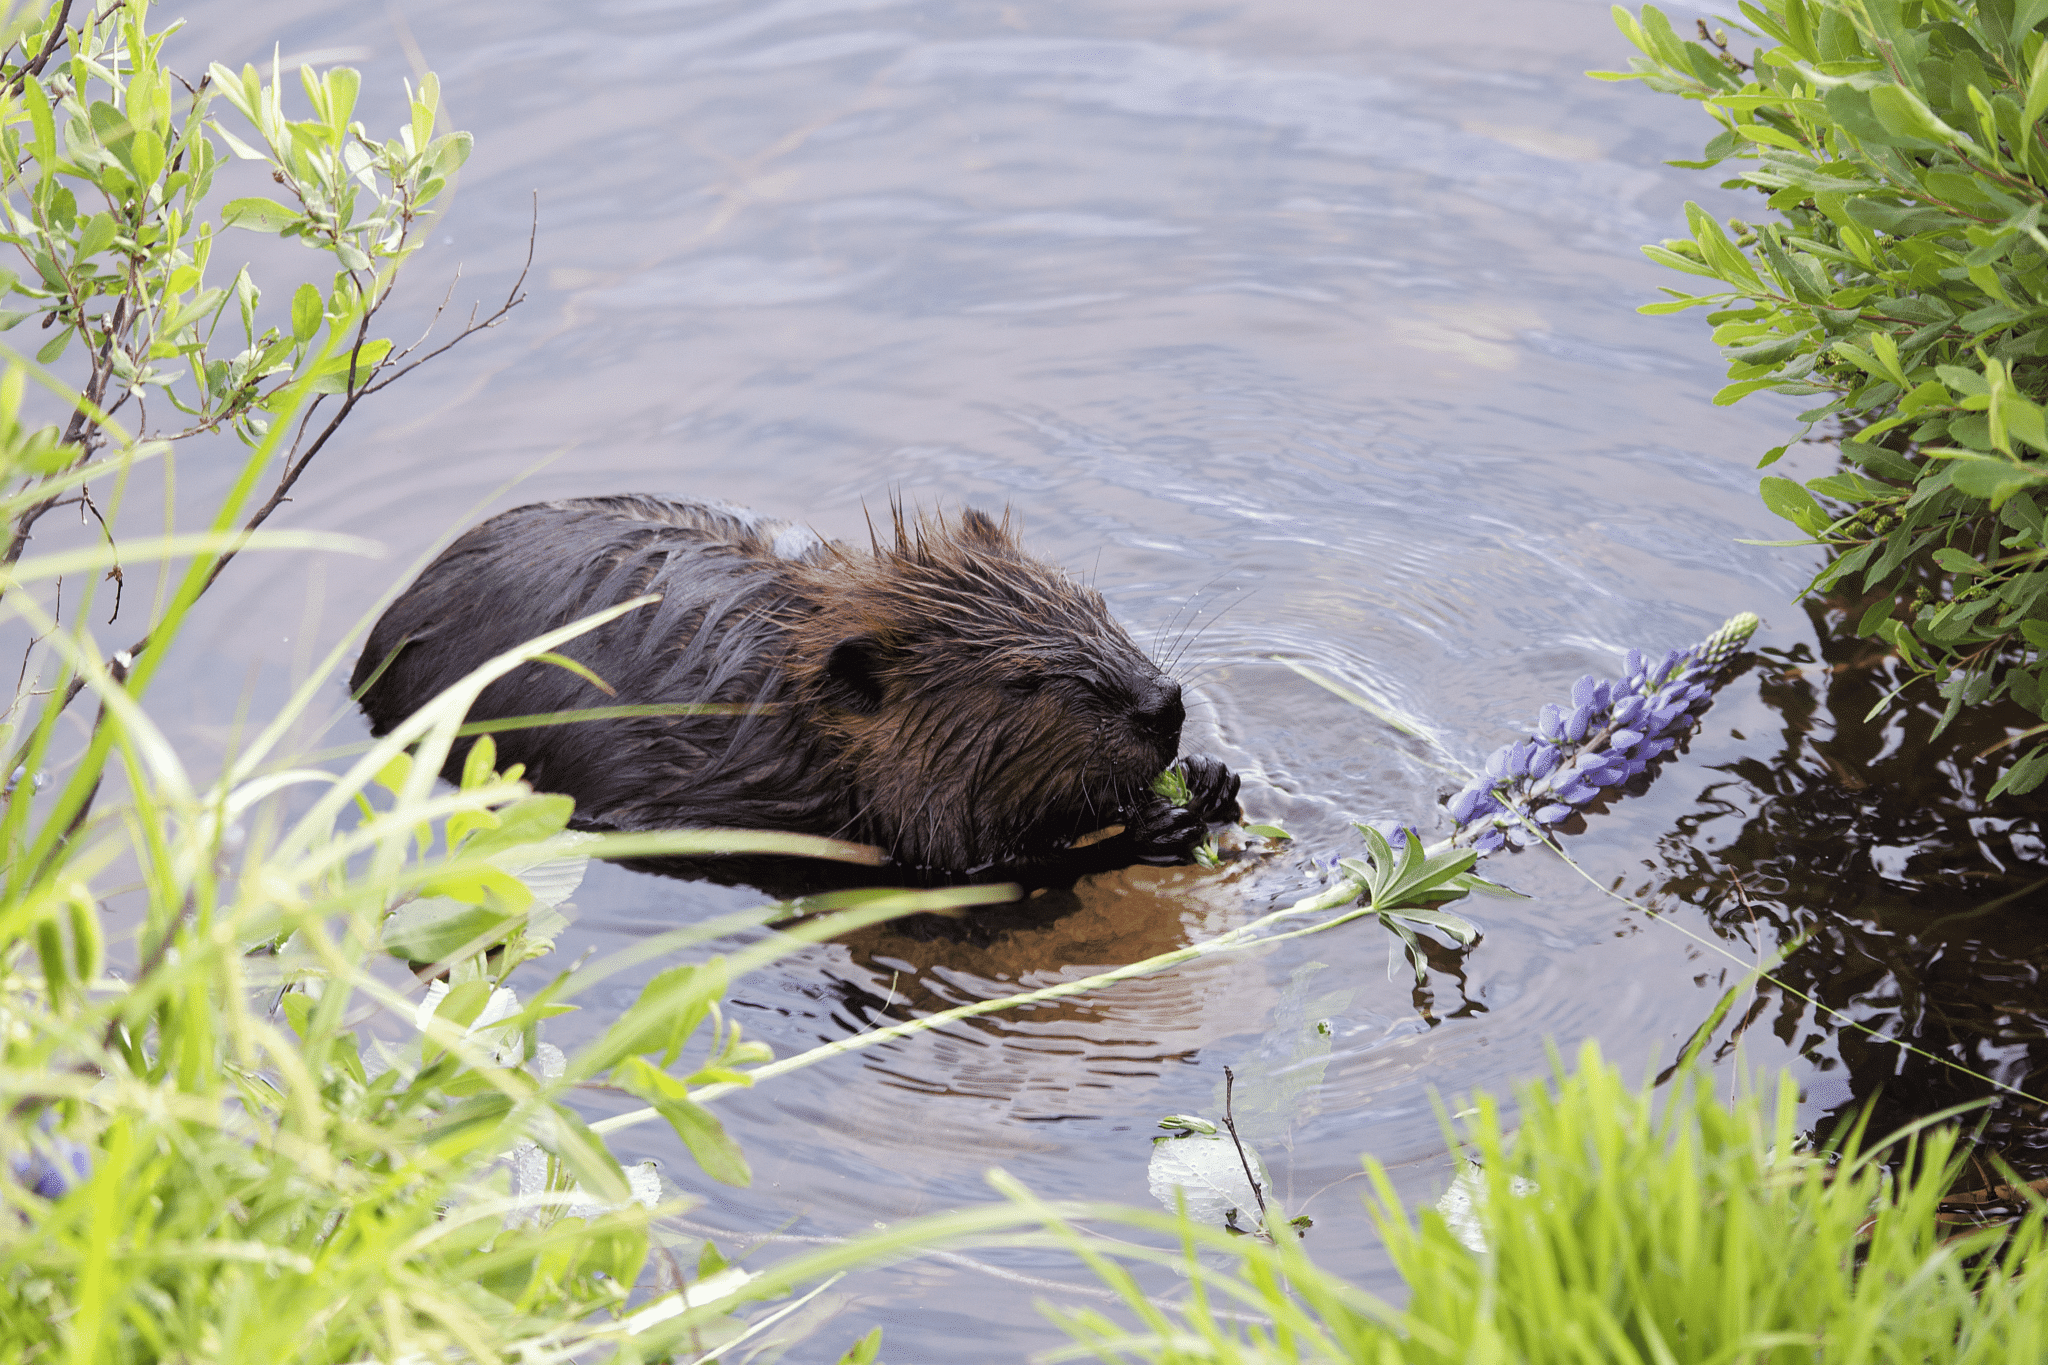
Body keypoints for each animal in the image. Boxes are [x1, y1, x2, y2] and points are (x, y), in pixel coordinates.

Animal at [352, 499, 1236, 875]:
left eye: (1096, 602)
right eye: (1024, 681)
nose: (1163, 705)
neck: (779, 707)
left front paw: (1212, 777)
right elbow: (960, 861)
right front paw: (1154, 823)